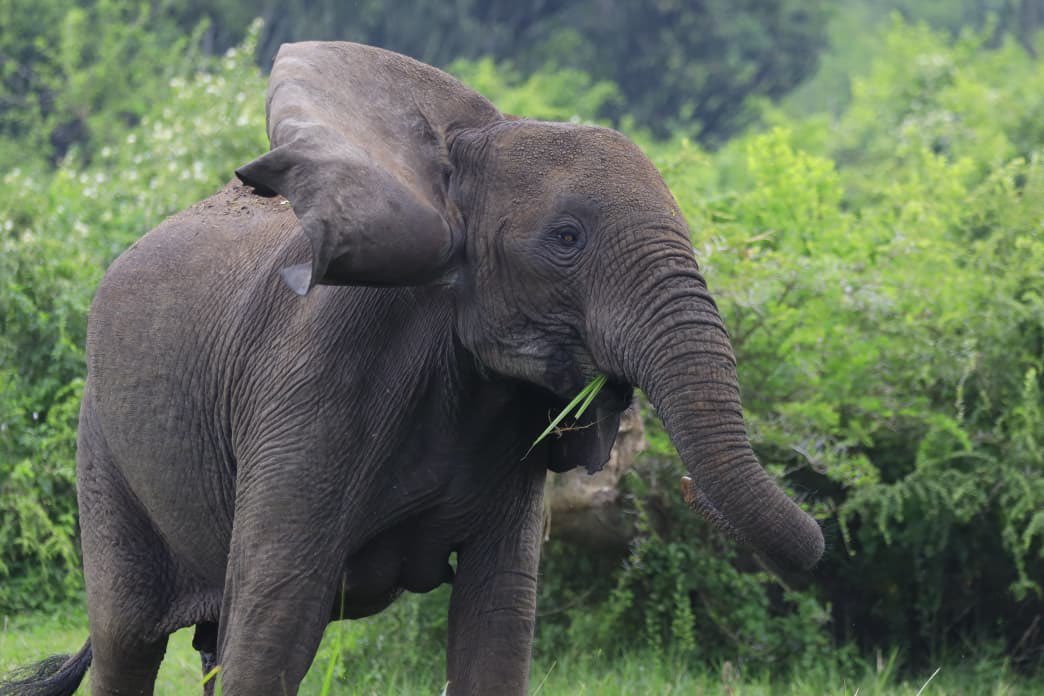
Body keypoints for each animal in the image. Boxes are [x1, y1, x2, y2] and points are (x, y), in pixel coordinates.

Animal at [0, 41, 823, 696]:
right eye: (566, 238)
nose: (679, 486)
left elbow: (498, 620)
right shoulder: (315, 384)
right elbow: (275, 624)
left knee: (205, 644)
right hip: (102, 443)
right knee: (129, 641)